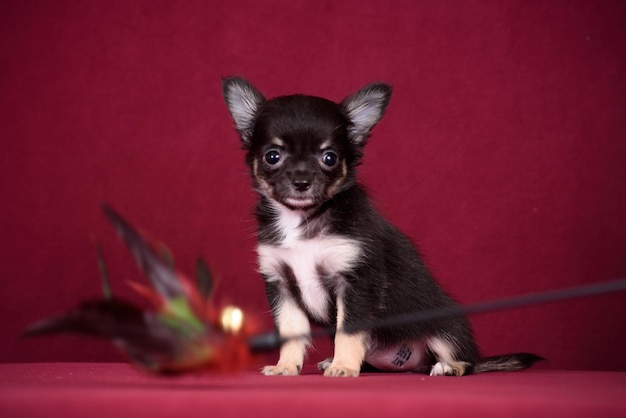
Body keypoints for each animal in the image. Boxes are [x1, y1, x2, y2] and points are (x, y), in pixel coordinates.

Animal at [222, 76, 540, 378]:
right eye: (272, 156)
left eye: (329, 158)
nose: (302, 182)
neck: (302, 219)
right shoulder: (281, 284)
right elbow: (291, 333)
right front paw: (286, 366)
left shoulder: (357, 282)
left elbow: (348, 331)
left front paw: (344, 367)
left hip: (445, 328)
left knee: (464, 360)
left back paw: (448, 367)